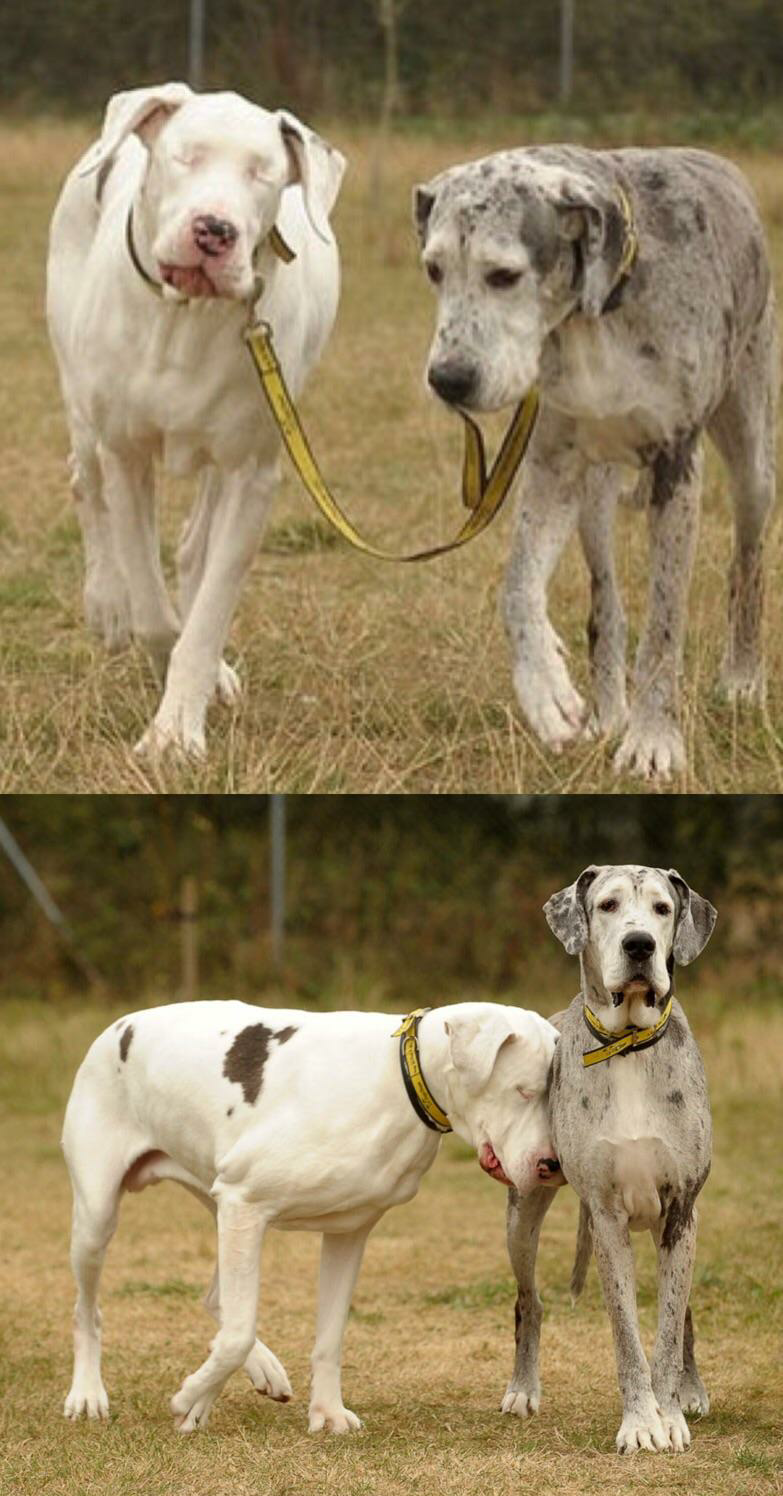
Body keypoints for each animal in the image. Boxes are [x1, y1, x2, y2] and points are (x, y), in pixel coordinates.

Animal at [46, 87, 345, 753]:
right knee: (85, 483)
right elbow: (153, 611)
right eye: (186, 157)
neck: (185, 316)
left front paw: (178, 727)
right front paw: (161, 679)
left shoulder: (252, 474)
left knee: (193, 547)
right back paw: (106, 603)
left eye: (263, 173)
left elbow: (207, 614)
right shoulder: (127, 456)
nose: (215, 230)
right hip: (80, 399)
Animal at [64, 999, 559, 1430]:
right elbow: (238, 1333)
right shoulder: (245, 1205)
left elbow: (328, 1338)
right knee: (88, 1311)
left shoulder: (346, 1232)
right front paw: (191, 1398)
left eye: (552, 1098)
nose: (551, 1165)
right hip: (99, 1219)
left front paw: (327, 1412)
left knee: (216, 1297)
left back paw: (262, 1369)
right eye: (523, 1092)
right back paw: (88, 1393)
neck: (398, 1079)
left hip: (218, 1204)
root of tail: (119, 1025)